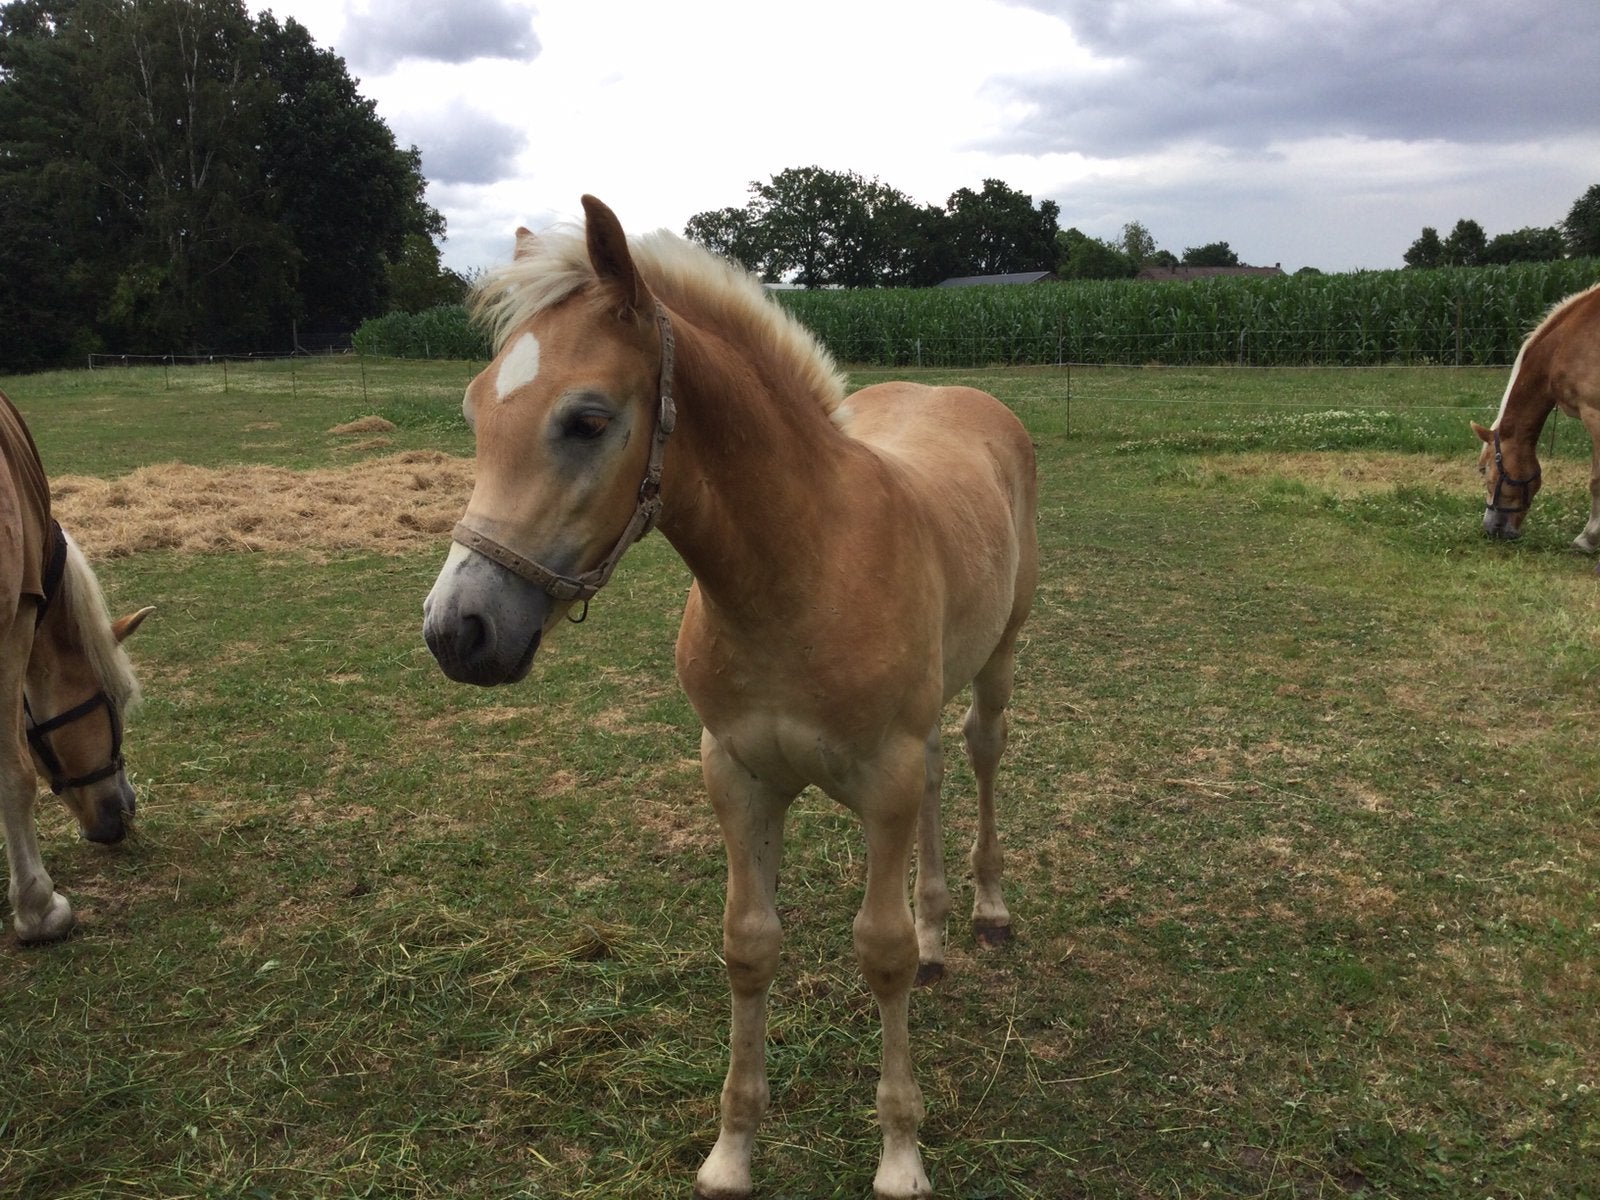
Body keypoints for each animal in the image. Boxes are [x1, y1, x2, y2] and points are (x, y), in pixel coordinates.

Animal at [423, 197, 1038, 1199]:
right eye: (476, 408)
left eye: (587, 419)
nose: (457, 631)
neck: (804, 567)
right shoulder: (736, 771)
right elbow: (750, 946)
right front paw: (731, 1153)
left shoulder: (883, 775)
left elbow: (881, 952)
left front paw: (901, 1156)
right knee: (946, 773)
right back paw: (941, 931)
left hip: (1000, 655)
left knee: (982, 752)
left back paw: (983, 914)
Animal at [1471, 281, 1600, 544]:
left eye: (1484, 470)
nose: (1489, 529)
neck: (1564, 342)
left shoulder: (1594, 413)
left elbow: (1596, 480)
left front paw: (1588, 537)